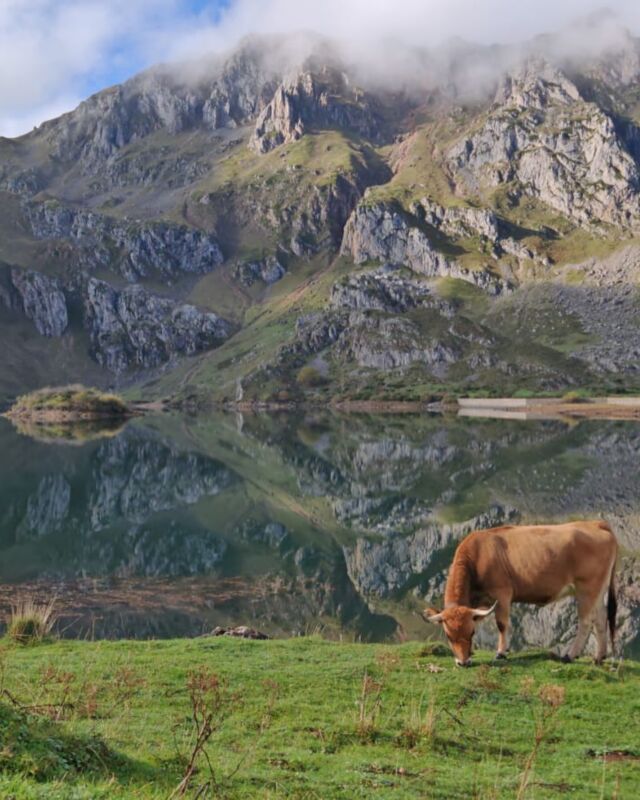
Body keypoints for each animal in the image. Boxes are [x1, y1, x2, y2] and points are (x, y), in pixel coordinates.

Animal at [424, 520, 616, 664]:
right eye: (448, 636)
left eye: (471, 633)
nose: (463, 662)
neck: (477, 557)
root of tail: (596, 523)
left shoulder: (502, 594)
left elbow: (502, 624)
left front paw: (501, 652)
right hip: (598, 589)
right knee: (600, 618)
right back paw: (599, 657)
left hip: (587, 588)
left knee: (586, 621)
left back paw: (570, 655)